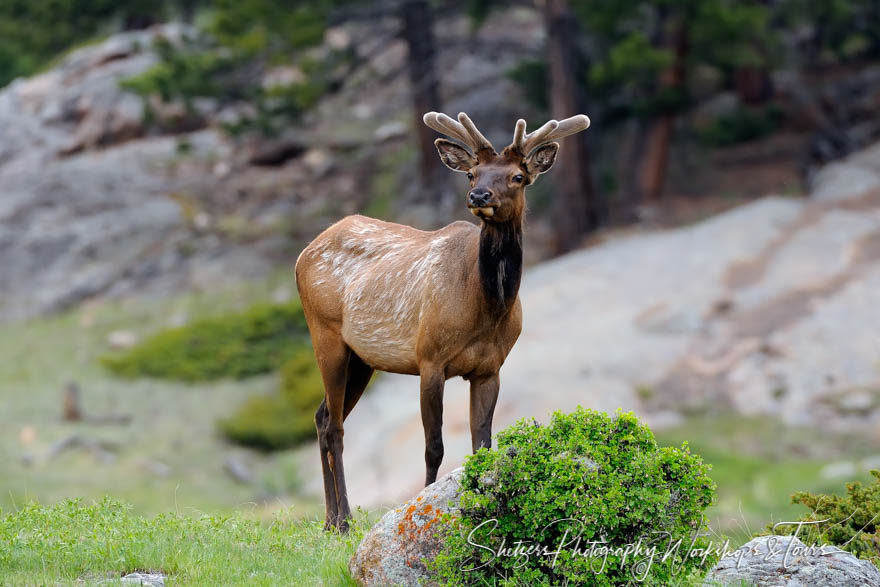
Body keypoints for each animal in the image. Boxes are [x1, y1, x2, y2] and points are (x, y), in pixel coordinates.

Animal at [296, 110, 592, 532]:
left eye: (518, 176)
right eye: (472, 174)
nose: (479, 196)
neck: (484, 312)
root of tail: (304, 252)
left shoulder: (490, 368)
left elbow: (482, 445)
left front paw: (483, 507)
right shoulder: (429, 358)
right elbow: (433, 447)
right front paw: (422, 507)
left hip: (362, 359)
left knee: (322, 417)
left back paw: (328, 520)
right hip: (325, 332)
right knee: (335, 426)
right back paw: (344, 521)